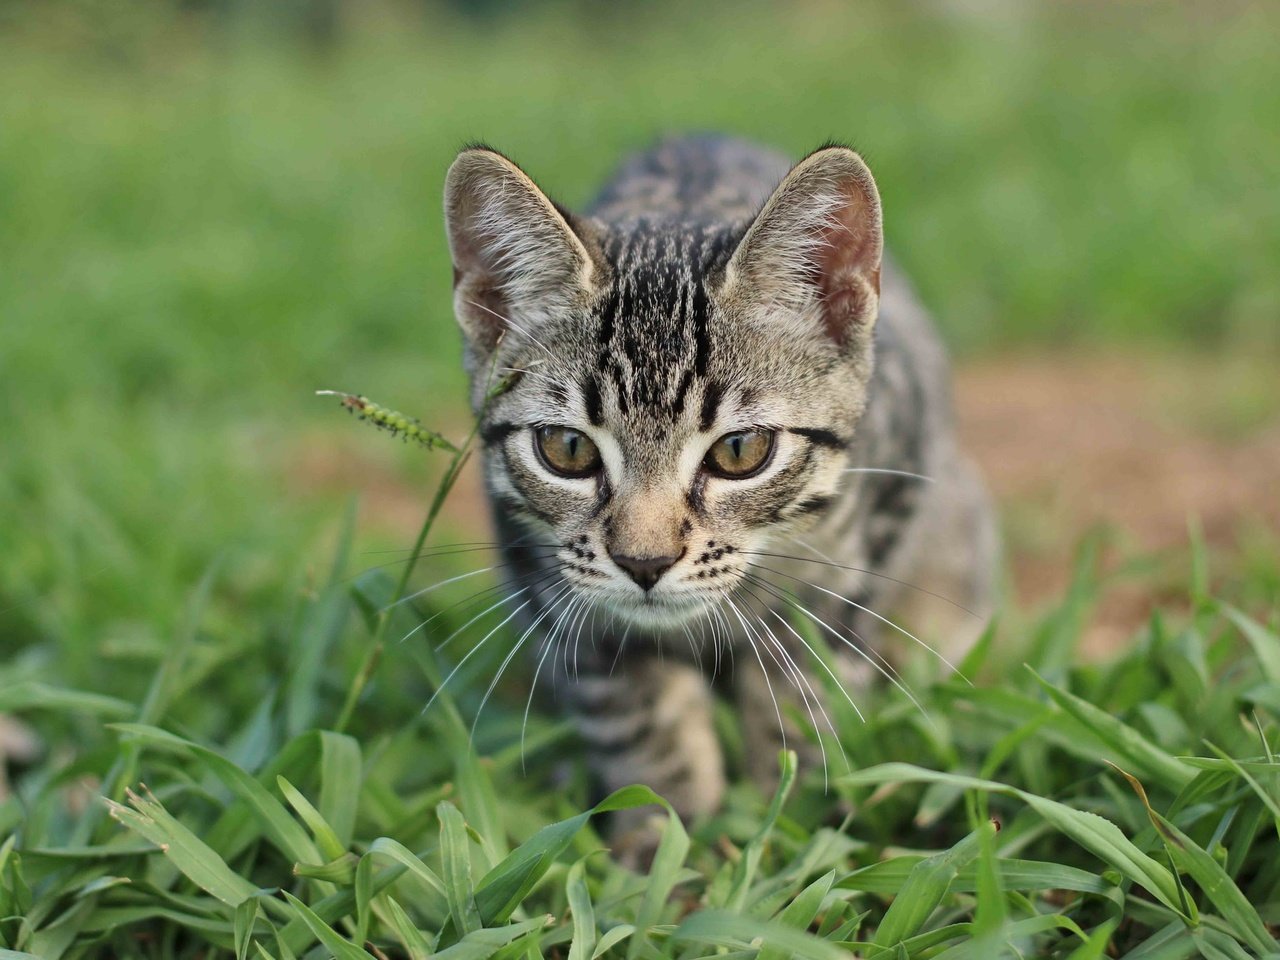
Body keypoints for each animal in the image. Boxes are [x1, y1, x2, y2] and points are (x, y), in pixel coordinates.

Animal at [445, 133, 993, 839]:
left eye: (740, 452)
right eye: (567, 449)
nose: (643, 562)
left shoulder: (870, 535)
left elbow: (802, 686)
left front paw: (787, 812)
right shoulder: (549, 582)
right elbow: (634, 708)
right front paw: (666, 829)